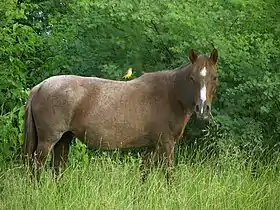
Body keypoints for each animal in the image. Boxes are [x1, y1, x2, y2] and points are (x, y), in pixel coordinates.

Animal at [22, 48, 219, 181]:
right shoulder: (166, 144)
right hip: (48, 141)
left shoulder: (151, 146)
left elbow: (144, 174)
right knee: (36, 167)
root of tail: (40, 86)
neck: (169, 94)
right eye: (192, 78)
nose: (203, 109)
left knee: (57, 169)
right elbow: (170, 175)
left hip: (64, 140)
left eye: (214, 77)